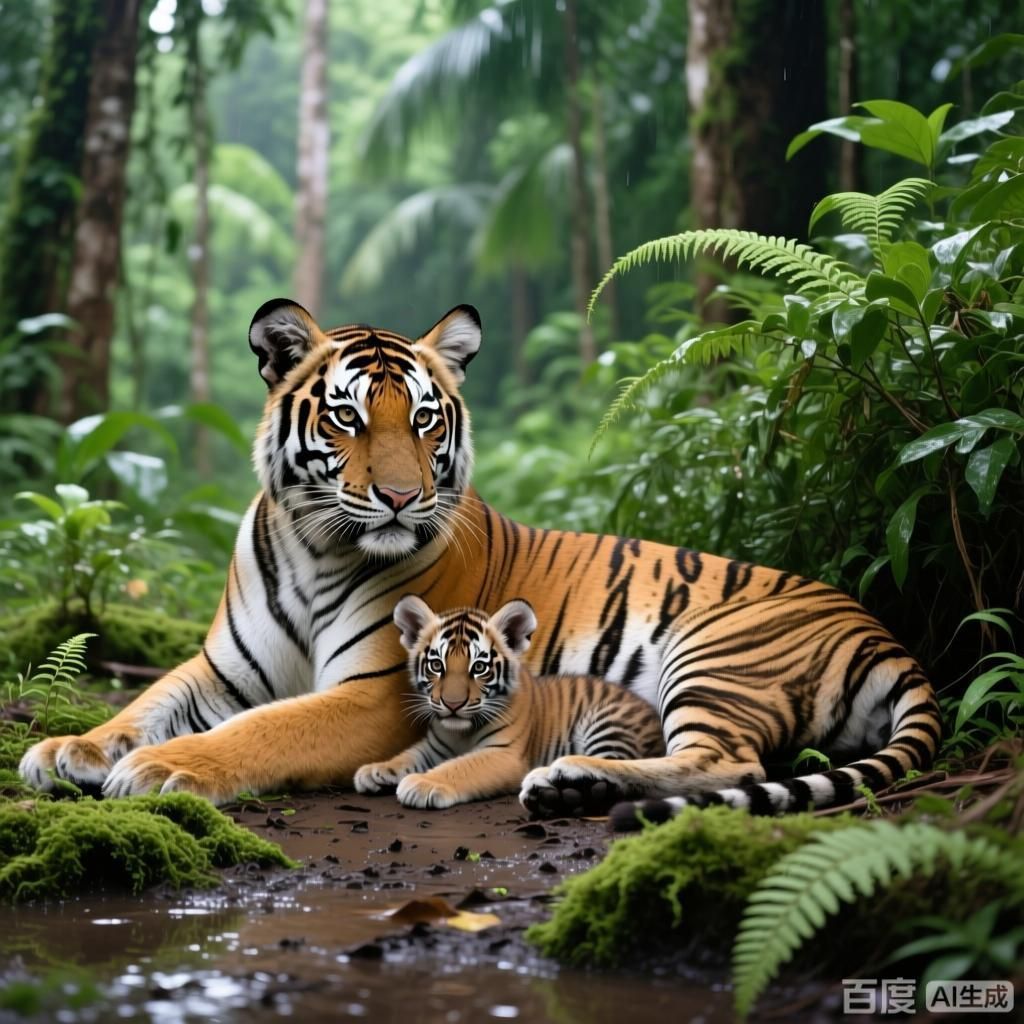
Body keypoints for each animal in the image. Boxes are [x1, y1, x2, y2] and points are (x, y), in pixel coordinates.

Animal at [353, 596, 665, 809]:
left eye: (479, 667)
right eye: (436, 665)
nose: (452, 704)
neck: (459, 733)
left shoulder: (503, 754)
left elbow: (459, 767)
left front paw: (422, 782)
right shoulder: (434, 746)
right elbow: (407, 756)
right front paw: (375, 770)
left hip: (607, 724)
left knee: (611, 770)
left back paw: (546, 781)